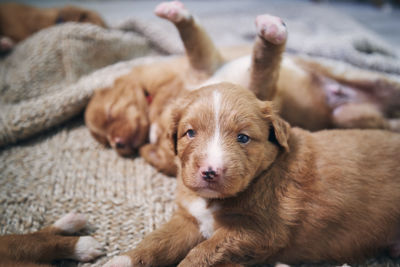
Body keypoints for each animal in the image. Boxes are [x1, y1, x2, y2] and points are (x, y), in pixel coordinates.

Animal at [85, 1, 400, 177]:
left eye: (111, 115)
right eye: (106, 142)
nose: (119, 145)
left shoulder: (208, 63)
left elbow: (193, 38)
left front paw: (176, 12)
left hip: (368, 80)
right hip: (351, 117)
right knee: (387, 122)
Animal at [104, 82, 400, 266]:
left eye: (243, 138)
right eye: (190, 133)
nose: (210, 172)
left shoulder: (261, 231)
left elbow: (201, 253)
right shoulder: (190, 219)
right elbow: (157, 241)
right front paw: (121, 260)